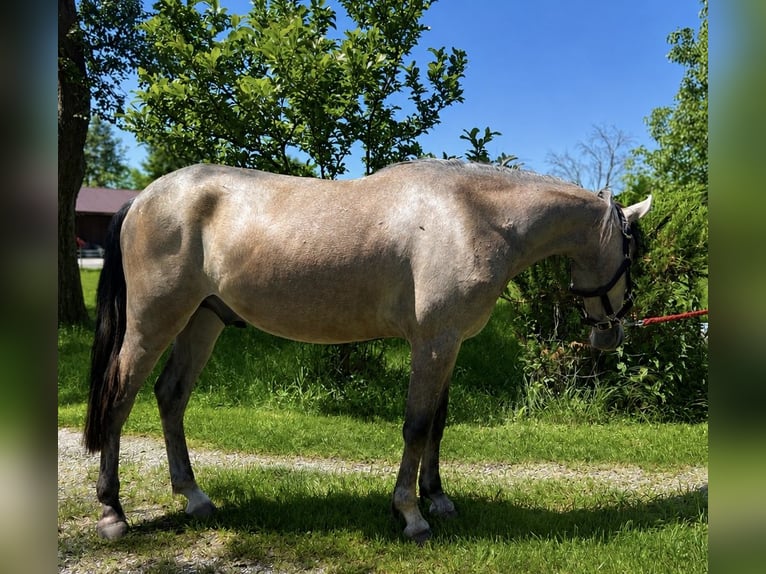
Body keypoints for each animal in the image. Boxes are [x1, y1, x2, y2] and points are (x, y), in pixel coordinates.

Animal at [84, 158, 651, 543]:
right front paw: (411, 514)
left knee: (171, 396)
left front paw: (437, 498)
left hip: (204, 321)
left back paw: (196, 498)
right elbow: (417, 426)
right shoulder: (433, 344)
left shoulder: (447, 344)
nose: (611, 334)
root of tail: (143, 199)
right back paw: (112, 513)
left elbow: (437, 424)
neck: (474, 216)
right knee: (121, 397)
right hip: (153, 323)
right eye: (635, 252)